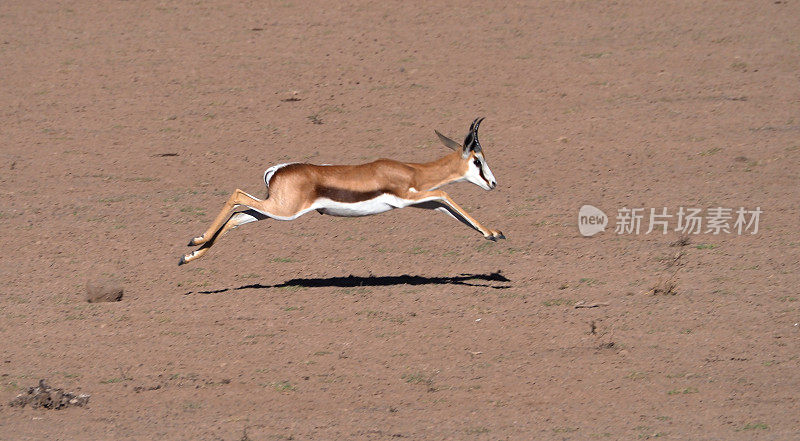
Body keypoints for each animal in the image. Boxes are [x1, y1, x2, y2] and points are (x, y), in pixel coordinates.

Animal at [181, 115, 506, 264]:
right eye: (478, 159)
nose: (493, 183)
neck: (412, 170)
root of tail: (278, 170)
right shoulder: (410, 197)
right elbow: (448, 194)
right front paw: (496, 232)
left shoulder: (422, 202)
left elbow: (448, 208)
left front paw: (493, 234)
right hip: (283, 211)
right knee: (237, 196)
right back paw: (195, 240)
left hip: (273, 211)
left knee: (238, 217)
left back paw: (190, 255)